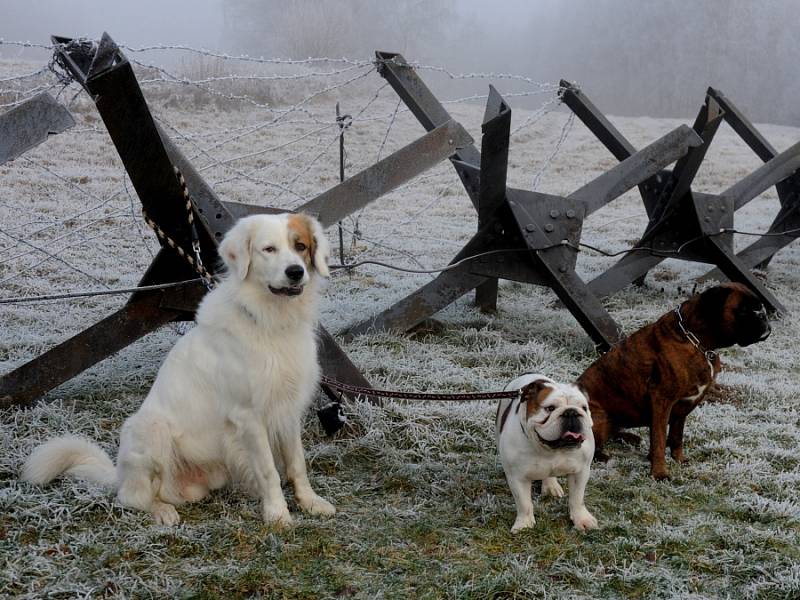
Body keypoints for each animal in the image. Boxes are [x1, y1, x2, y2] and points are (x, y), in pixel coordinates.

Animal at [21, 213, 334, 528]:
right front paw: (278, 514)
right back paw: (162, 511)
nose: (295, 272)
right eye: (268, 249)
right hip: (151, 430)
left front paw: (310, 501)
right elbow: (269, 471)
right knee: (132, 497)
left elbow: (296, 463)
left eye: (300, 246)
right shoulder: (248, 416)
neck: (269, 320)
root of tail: (119, 474)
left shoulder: (287, 408)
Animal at [496, 372, 596, 532]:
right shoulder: (517, 477)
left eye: (584, 408)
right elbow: (524, 503)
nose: (571, 412)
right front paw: (524, 525)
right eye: (550, 408)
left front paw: (582, 519)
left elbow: (577, 498)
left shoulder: (580, 472)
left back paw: (551, 486)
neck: (550, 450)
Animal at [580, 284, 772, 480]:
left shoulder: (683, 406)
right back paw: (602, 455)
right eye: (744, 309)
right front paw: (659, 473)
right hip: (598, 416)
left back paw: (629, 437)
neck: (698, 342)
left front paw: (678, 459)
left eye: (759, 307)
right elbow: (659, 439)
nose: (763, 315)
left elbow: (676, 436)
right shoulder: (662, 400)